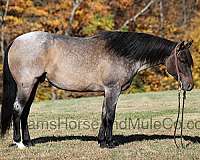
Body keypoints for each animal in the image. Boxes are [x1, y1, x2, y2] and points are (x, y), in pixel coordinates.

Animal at [0, 31, 194, 149]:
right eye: (182, 60)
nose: (189, 86)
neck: (123, 53)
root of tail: (16, 41)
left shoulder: (106, 92)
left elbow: (103, 115)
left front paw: (101, 141)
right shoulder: (113, 90)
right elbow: (110, 116)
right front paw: (110, 143)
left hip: (33, 85)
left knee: (25, 113)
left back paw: (28, 142)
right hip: (26, 86)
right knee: (18, 109)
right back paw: (19, 143)